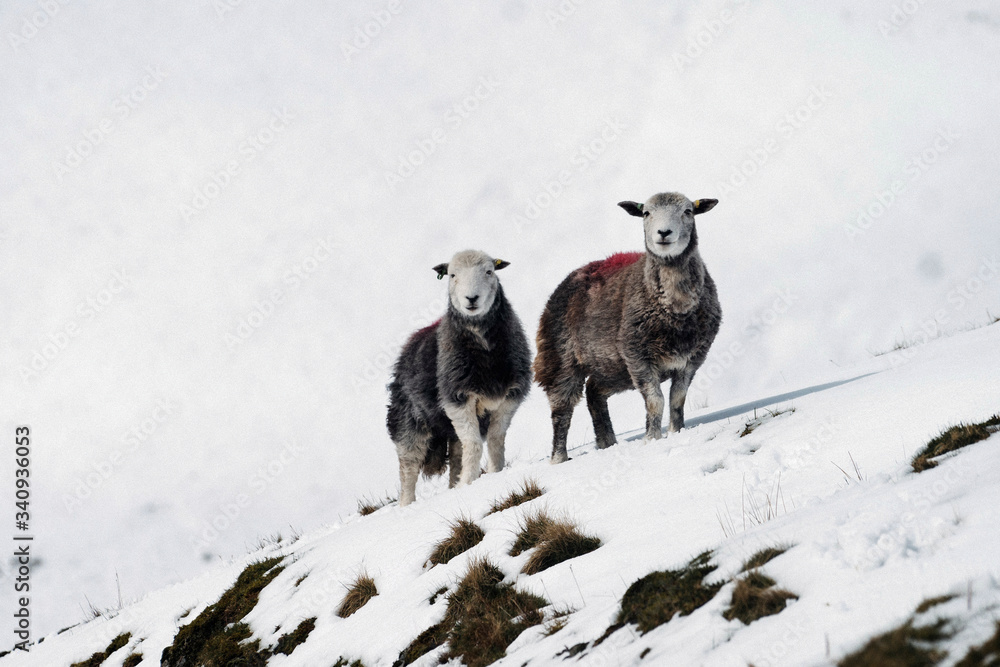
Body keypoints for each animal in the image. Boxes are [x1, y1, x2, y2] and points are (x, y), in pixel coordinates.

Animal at [386, 250, 536, 506]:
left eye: (489, 271)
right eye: (452, 275)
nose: (471, 298)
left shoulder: (511, 396)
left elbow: (496, 439)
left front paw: (494, 474)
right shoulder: (456, 398)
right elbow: (474, 444)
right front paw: (469, 483)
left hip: (449, 431)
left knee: (457, 455)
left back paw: (455, 485)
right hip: (409, 423)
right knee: (408, 467)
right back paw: (407, 504)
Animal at [536, 190, 724, 462]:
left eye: (688, 211)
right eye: (646, 213)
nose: (664, 233)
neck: (675, 308)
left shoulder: (692, 358)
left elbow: (677, 399)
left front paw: (676, 432)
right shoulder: (637, 356)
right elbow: (655, 400)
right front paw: (652, 438)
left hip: (612, 367)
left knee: (594, 393)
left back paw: (607, 442)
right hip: (560, 360)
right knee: (561, 411)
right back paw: (559, 457)